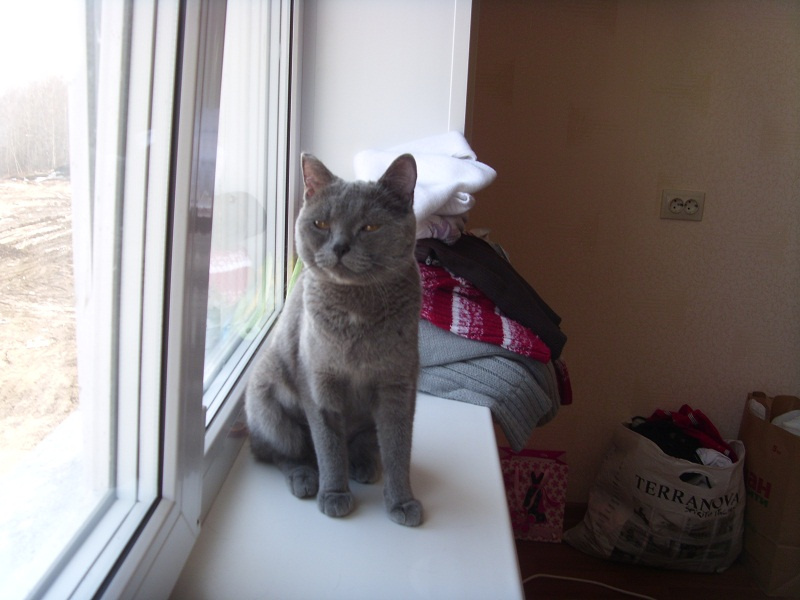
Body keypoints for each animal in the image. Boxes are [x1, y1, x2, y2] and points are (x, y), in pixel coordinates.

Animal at [245, 152, 423, 527]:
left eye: (370, 227)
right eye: (322, 224)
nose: (339, 247)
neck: (356, 309)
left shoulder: (399, 385)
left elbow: (399, 448)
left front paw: (402, 502)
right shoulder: (320, 381)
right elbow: (328, 445)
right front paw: (334, 494)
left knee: (363, 444)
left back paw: (364, 465)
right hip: (267, 404)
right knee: (279, 452)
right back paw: (306, 477)